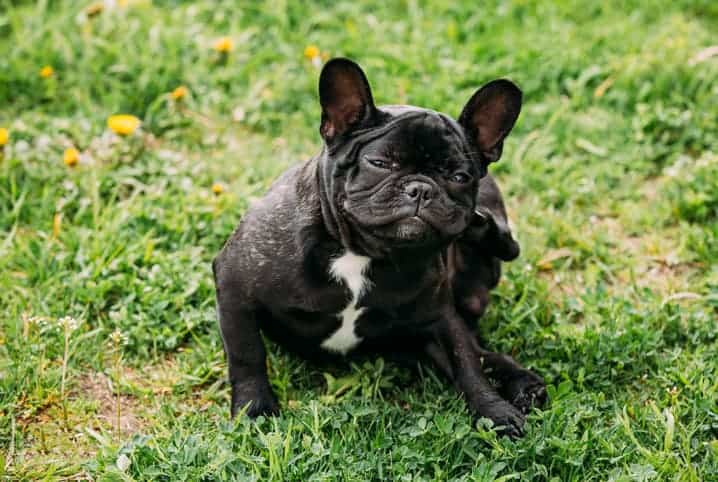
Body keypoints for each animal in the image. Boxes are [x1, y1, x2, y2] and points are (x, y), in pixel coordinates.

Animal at [212, 58, 544, 434]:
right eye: (380, 163)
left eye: (460, 177)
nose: (421, 188)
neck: (362, 251)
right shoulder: (236, 287)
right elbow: (247, 353)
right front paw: (254, 408)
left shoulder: (439, 316)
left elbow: (467, 364)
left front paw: (494, 411)